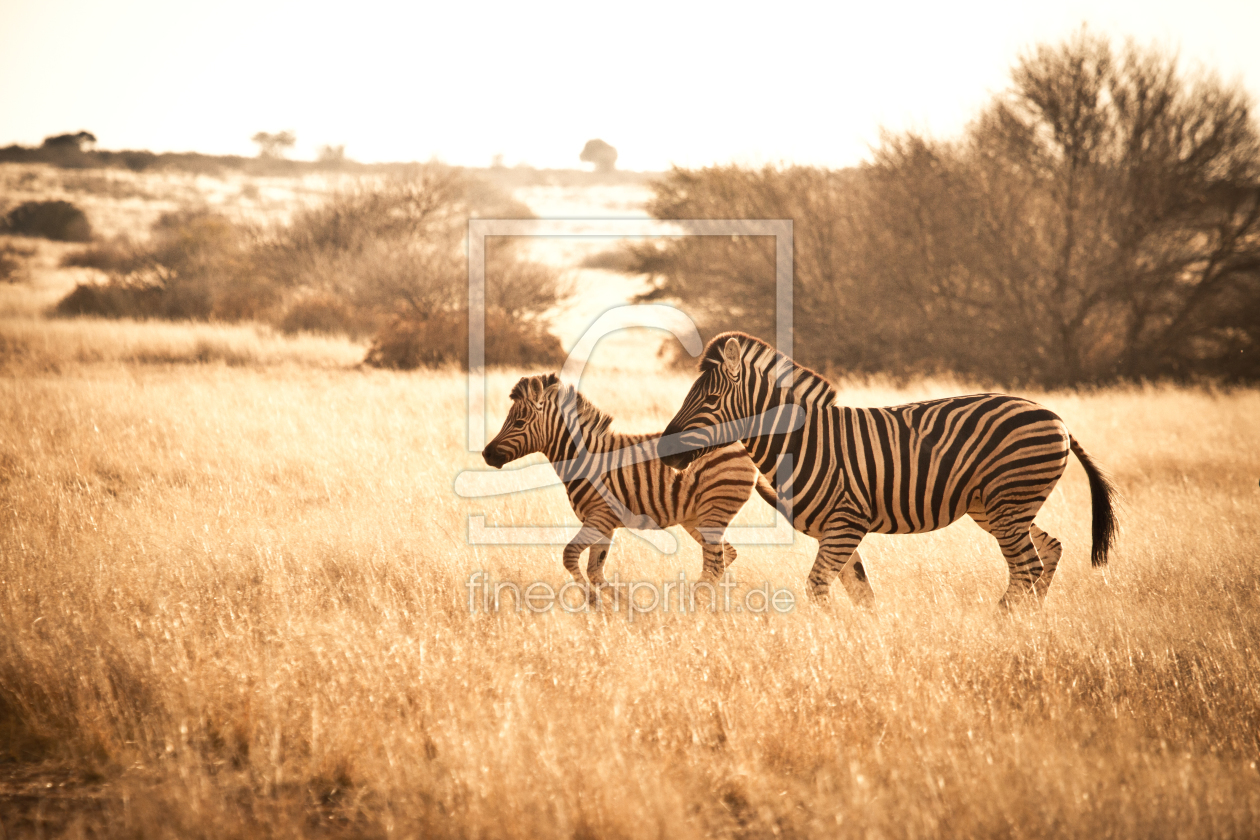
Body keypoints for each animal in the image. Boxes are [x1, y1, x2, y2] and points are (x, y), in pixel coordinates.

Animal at [481, 372, 776, 596]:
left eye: (519, 422)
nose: (486, 454)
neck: (584, 459)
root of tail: (741, 445)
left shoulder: (599, 517)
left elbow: (569, 555)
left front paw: (593, 601)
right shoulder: (605, 523)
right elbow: (595, 570)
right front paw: (618, 606)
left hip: (715, 507)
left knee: (715, 562)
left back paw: (695, 604)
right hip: (697, 516)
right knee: (726, 556)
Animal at [655, 332, 1118, 607]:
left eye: (711, 401)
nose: (665, 450)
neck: (801, 443)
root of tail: (1054, 415)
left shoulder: (846, 522)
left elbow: (817, 587)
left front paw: (823, 641)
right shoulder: (834, 530)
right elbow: (861, 592)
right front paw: (865, 640)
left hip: (1009, 501)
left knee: (1027, 566)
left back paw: (1004, 621)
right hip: (999, 507)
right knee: (1050, 548)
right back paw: (1031, 620)